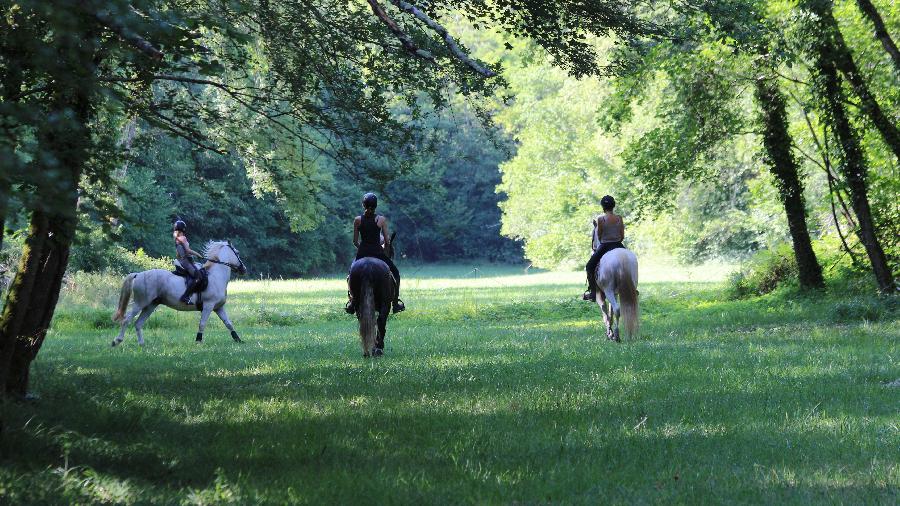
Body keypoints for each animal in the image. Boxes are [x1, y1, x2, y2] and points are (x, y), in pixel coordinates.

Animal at [111, 240, 246, 344]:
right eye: (238, 253)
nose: (243, 269)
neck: (216, 276)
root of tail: (138, 274)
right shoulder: (209, 305)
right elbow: (202, 324)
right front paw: (198, 341)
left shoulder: (218, 307)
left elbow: (228, 323)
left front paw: (238, 339)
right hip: (140, 303)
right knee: (127, 320)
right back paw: (117, 341)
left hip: (150, 305)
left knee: (138, 323)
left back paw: (142, 345)